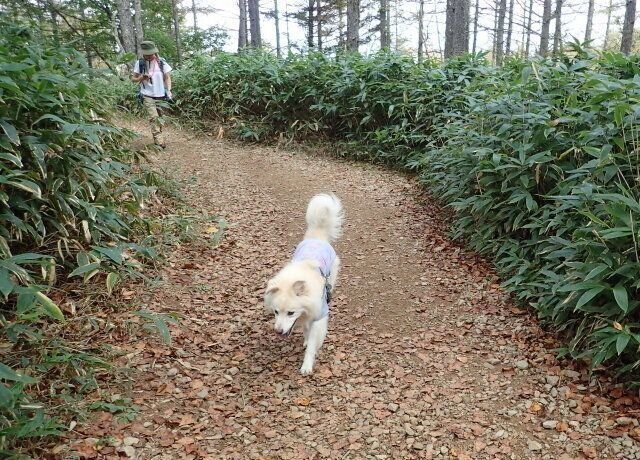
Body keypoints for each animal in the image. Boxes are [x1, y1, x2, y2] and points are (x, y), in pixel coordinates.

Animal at [264, 193, 343, 375]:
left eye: (290, 313)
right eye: (276, 312)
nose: (278, 332)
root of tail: (317, 237)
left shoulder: (318, 316)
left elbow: (312, 344)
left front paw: (307, 365)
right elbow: (307, 333)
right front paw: (306, 341)